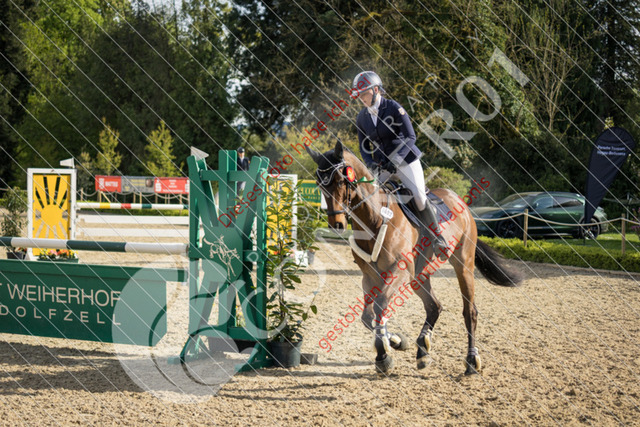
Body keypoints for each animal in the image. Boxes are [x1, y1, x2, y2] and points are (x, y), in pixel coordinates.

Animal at [307, 141, 524, 375]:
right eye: (319, 185)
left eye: (340, 181)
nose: (336, 225)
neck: (375, 218)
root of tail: (461, 202)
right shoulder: (370, 275)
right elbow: (368, 316)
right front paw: (394, 341)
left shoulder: (398, 270)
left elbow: (380, 306)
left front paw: (383, 355)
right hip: (419, 275)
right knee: (434, 306)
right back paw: (422, 351)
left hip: (463, 264)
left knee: (469, 311)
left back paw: (471, 360)